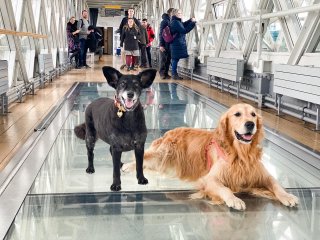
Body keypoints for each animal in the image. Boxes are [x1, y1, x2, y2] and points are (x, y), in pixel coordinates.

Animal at [123, 103, 300, 210]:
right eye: (237, 114)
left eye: (253, 114)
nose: (250, 124)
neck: (240, 154)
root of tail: (169, 131)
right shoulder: (209, 179)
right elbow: (225, 188)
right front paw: (234, 199)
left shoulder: (263, 175)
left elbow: (276, 184)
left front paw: (287, 196)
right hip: (164, 154)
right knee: (144, 158)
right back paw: (126, 167)